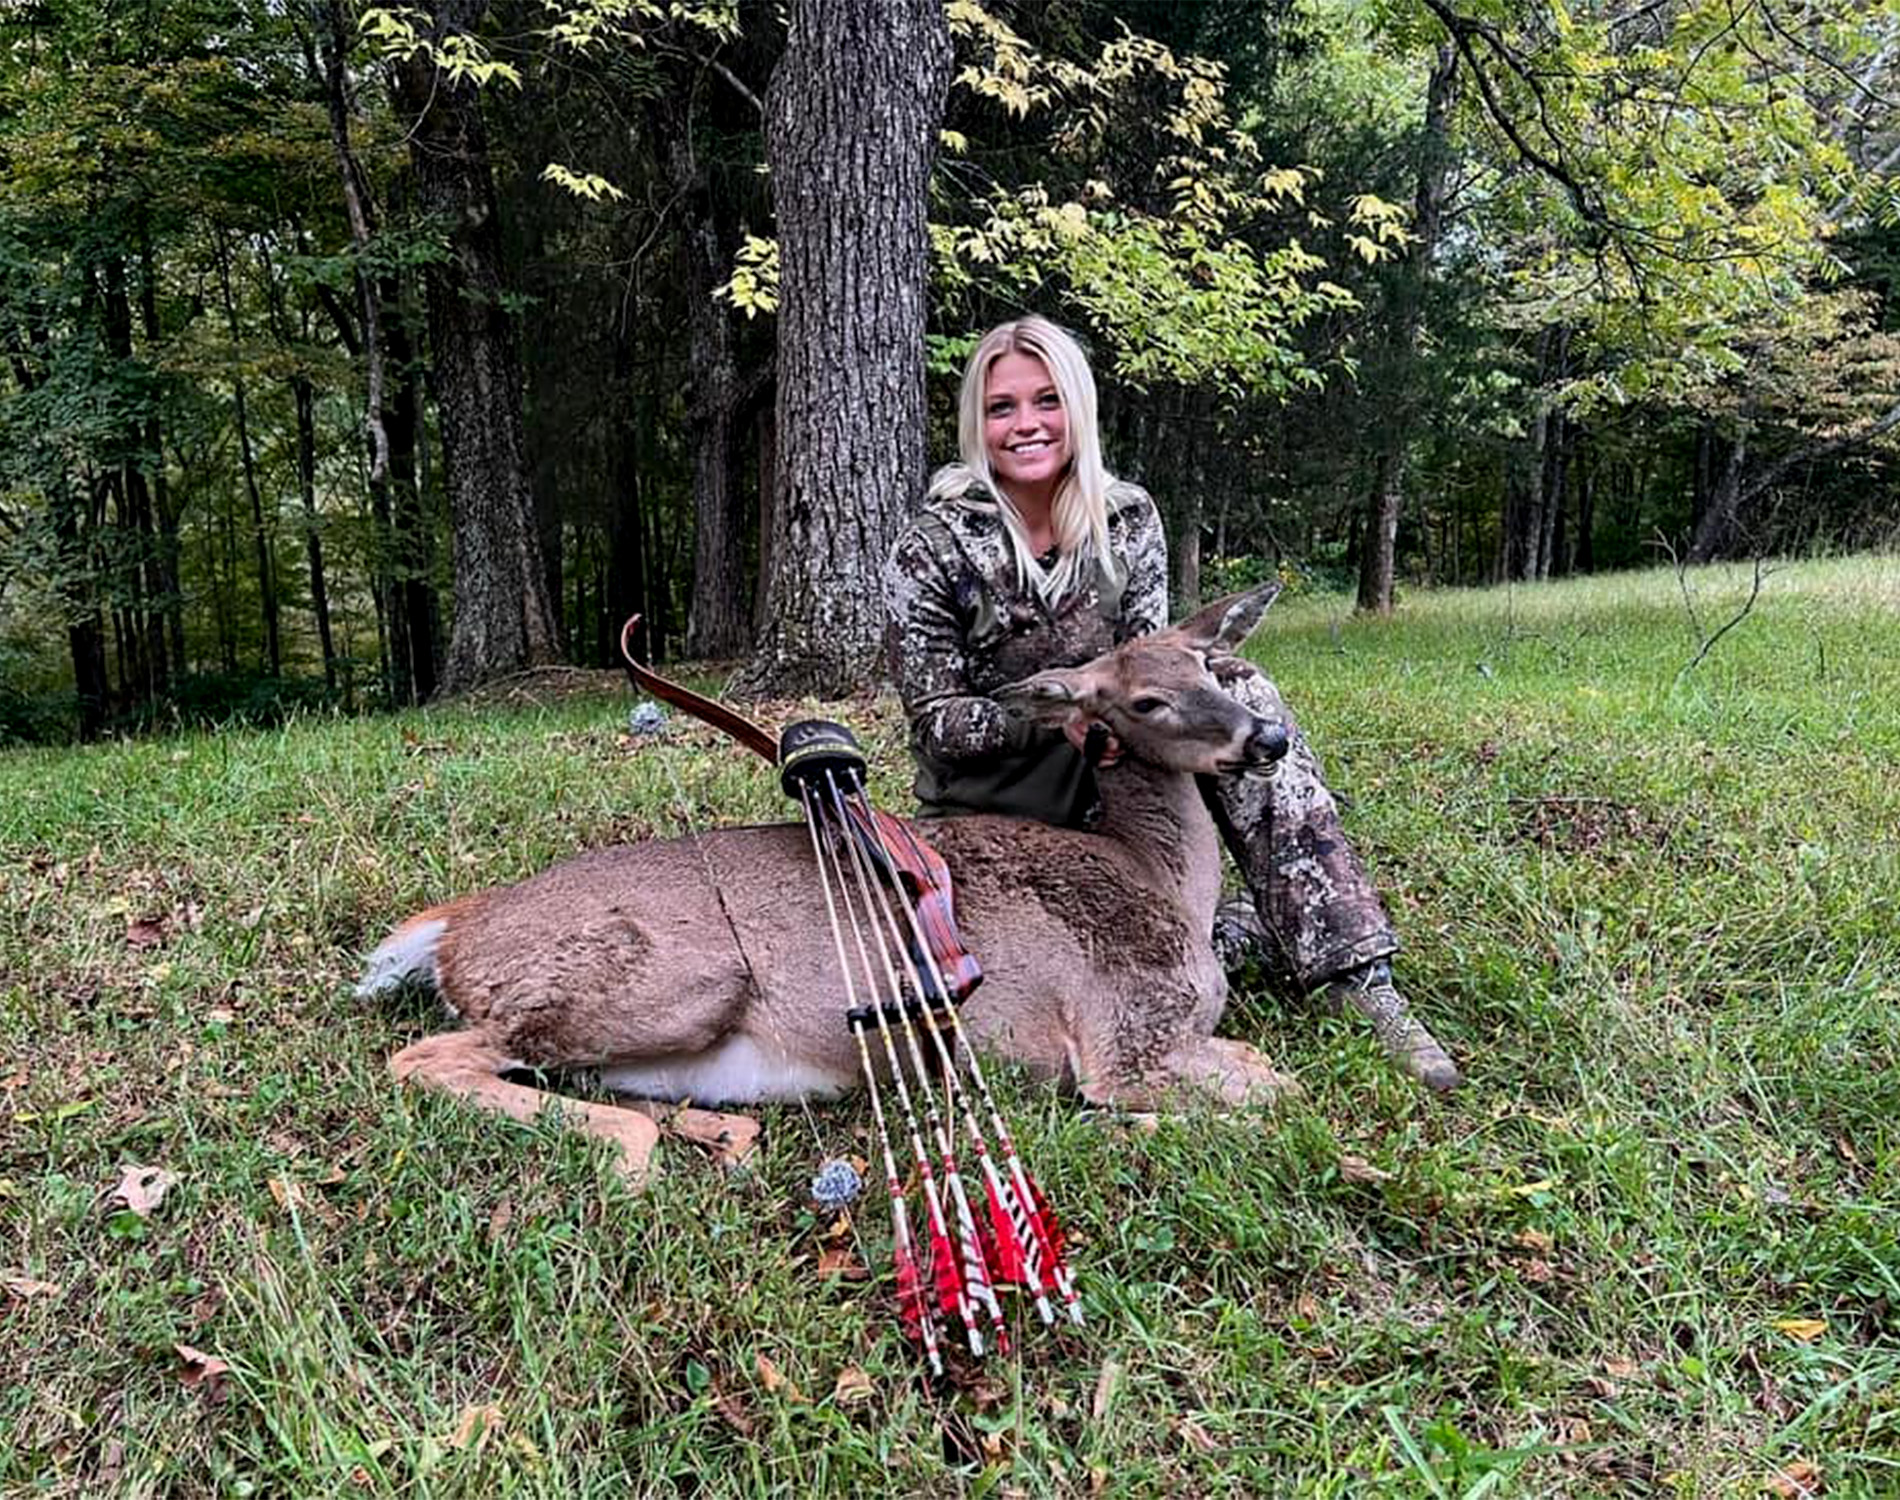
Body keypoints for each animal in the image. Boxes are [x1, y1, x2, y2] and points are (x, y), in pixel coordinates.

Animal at [360, 582, 1298, 1184]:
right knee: (425, 1056)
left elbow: (1262, 1069)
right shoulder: (1123, 1035)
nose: (1268, 740)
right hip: (675, 976)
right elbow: (1277, 1094)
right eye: (1144, 702)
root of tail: (456, 928)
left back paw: (720, 1132)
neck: (1164, 882)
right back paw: (636, 1157)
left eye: (1213, 669)